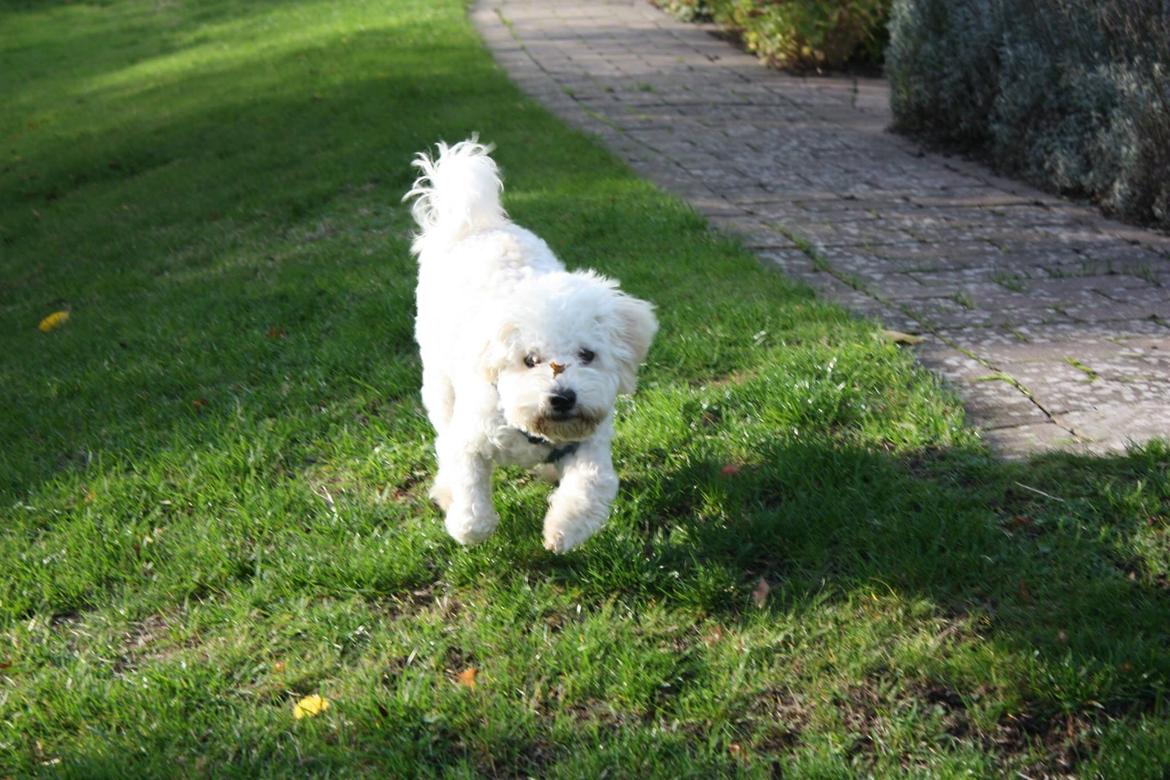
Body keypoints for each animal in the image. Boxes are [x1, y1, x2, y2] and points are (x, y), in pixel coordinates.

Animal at [404, 140, 659, 554]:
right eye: (529, 360)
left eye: (587, 355)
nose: (562, 397)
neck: (533, 430)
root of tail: (477, 227)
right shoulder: (471, 437)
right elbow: (467, 480)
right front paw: (468, 524)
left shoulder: (590, 445)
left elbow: (592, 485)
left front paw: (563, 529)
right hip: (439, 379)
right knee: (442, 432)